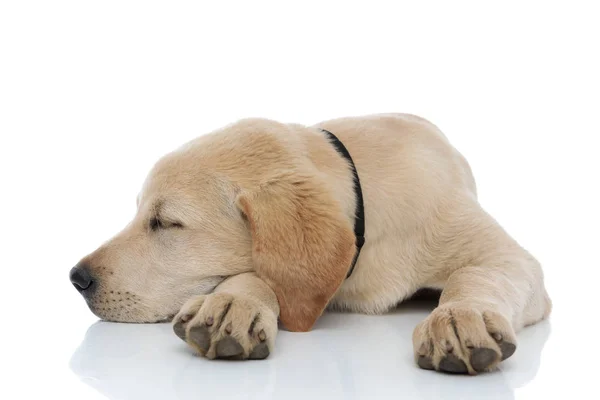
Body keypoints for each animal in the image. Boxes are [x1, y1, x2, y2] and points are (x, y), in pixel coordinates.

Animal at [71, 113, 552, 376]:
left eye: (167, 223)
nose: (76, 278)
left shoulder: (508, 257)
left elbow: (476, 274)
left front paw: (457, 318)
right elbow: (261, 274)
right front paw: (233, 302)